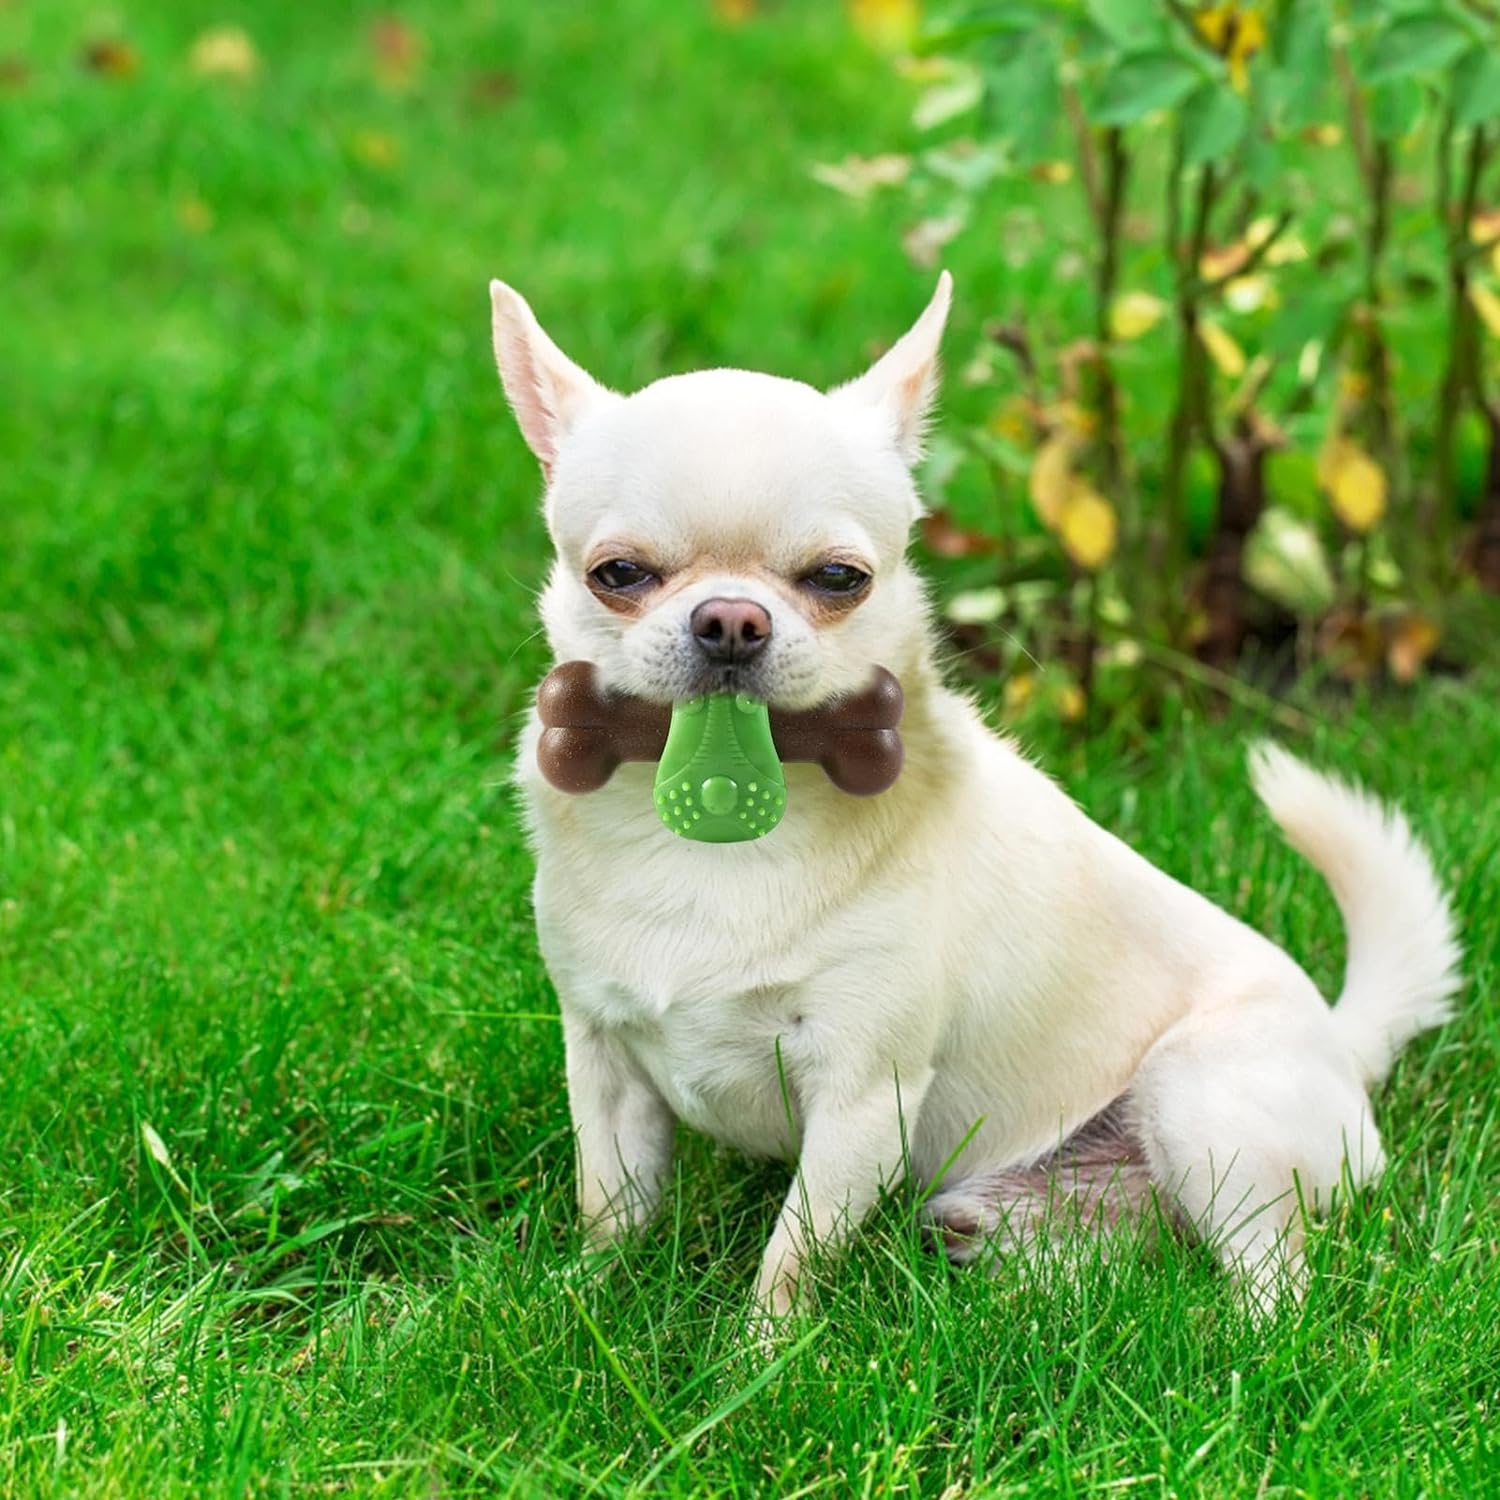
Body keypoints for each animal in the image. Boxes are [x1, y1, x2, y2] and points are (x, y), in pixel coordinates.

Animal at [492, 276, 1464, 1320]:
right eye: (618, 574)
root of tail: (1344, 1047)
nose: (731, 620)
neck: (717, 828)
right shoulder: (604, 1062)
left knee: (1275, 1279)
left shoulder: (862, 1096)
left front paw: (759, 1351)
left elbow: (791, 1258)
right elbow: (614, 1206)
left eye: (838, 578)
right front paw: (574, 1303)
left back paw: (1242, 1342)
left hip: (1203, 1099)